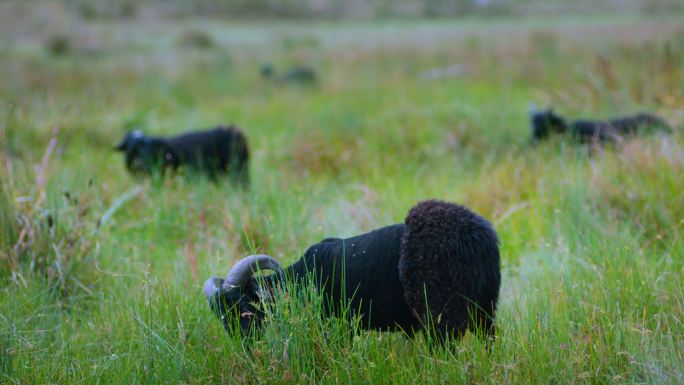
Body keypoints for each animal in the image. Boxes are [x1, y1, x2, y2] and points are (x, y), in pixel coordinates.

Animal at [200, 200, 500, 340]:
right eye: (219, 313)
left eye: (242, 307)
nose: (244, 345)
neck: (300, 278)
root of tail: (477, 236)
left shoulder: (335, 325)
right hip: (485, 308)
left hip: (442, 313)